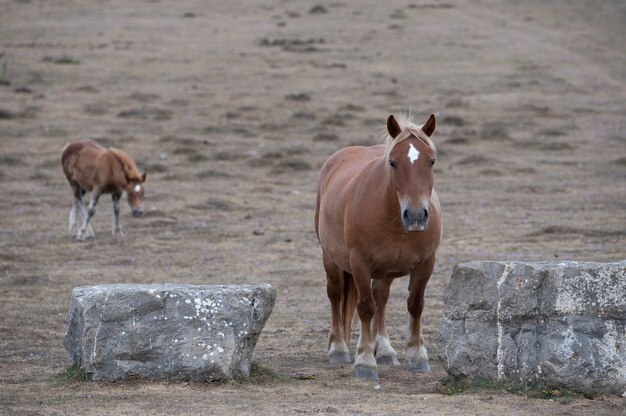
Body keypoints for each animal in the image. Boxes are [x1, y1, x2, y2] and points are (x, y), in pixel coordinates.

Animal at [314, 113, 442, 380]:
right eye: (393, 163)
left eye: (432, 161)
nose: (416, 216)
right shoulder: (360, 264)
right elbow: (365, 308)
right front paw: (364, 361)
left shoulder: (426, 263)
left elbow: (415, 305)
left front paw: (416, 355)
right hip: (330, 258)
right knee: (336, 294)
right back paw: (338, 348)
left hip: (386, 270)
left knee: (381, 298)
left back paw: (384, 350)